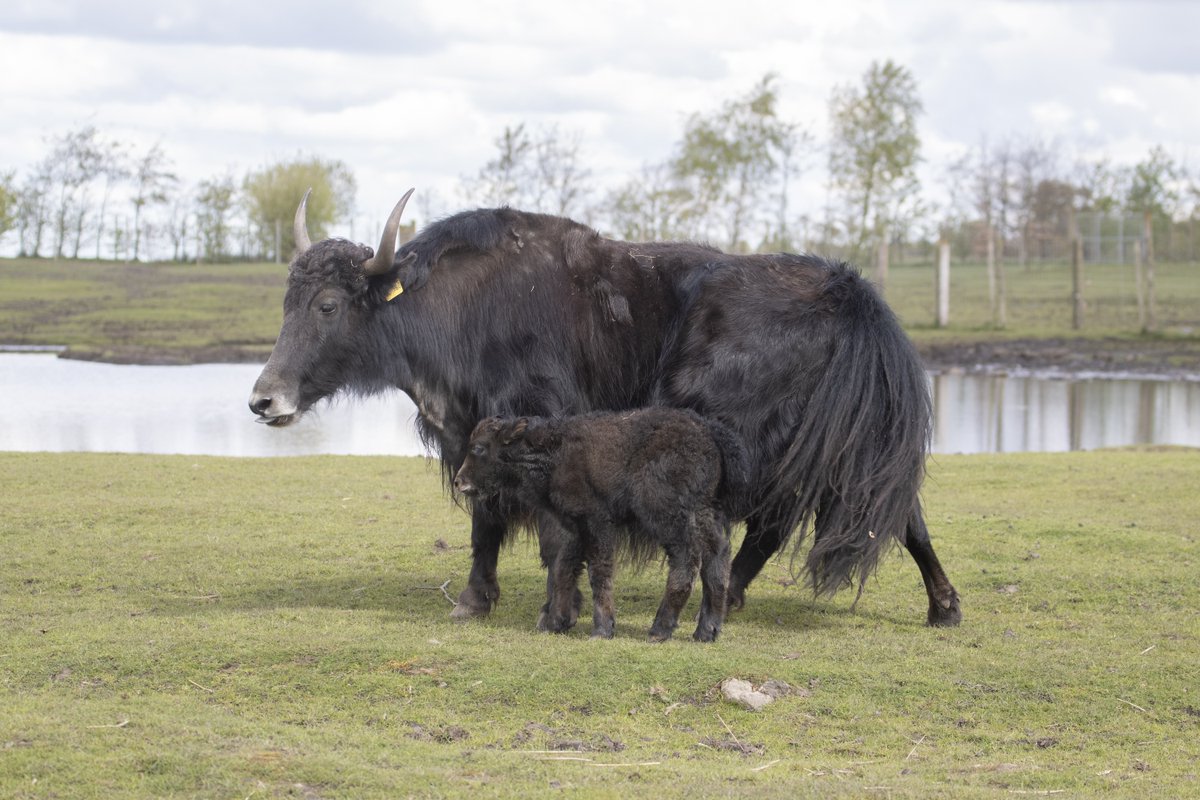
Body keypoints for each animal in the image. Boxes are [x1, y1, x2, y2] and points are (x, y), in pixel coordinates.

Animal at [451, 410, 744, 642]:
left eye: (478, 447)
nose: (459, 481)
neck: (552, 452)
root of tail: (708, 433)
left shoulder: (596, 523)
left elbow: (598, 571)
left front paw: (602, 629)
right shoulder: (572, 526)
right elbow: (564, 569)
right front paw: (557, 622)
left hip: (667, 517)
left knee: (687, 560)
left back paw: (659, 630)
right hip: (705, 513)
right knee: (717, 556)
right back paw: (706, 631)